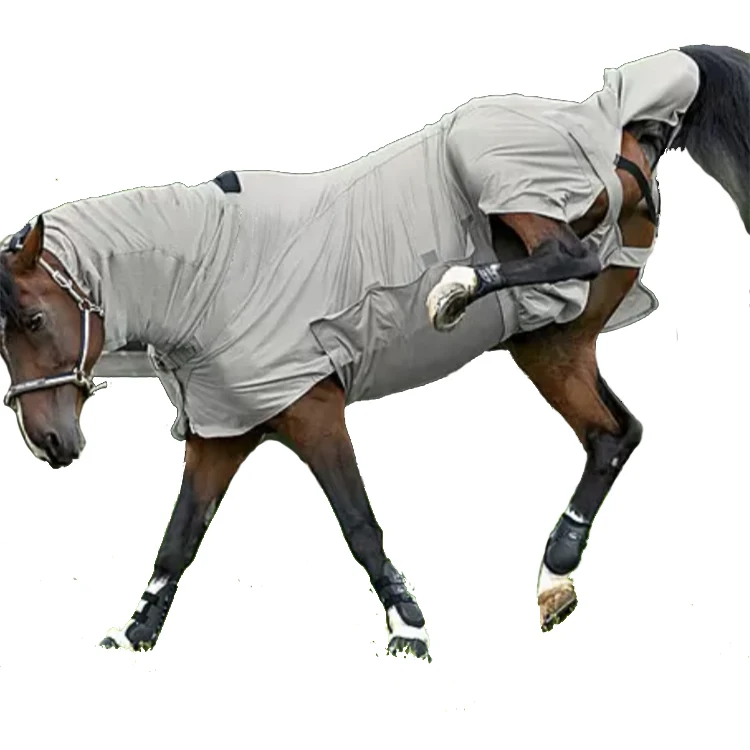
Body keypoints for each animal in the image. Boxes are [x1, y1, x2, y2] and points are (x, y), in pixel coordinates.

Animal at [0, 45, 747, 661]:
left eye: (33, 319)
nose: (50, 443)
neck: (208, 275)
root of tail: (618, 115)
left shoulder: (314, 413)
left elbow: (358, 523)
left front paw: (409, 627)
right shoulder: (223, 431)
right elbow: (178, 539)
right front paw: (135, 634)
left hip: (498, 173)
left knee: (571, 256)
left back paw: (455, 289)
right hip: (550, 341)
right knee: (613, 434)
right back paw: (554, 579)